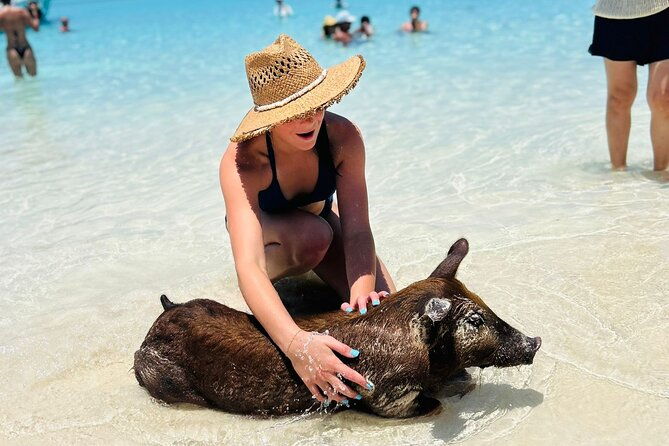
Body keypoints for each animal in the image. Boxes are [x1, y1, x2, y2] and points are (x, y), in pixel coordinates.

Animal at [133, 238, 541, 418]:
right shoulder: (386, 394)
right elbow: (429, 405)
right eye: (475, 320)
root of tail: (162, 316)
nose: (535, 341)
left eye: (484, 303)